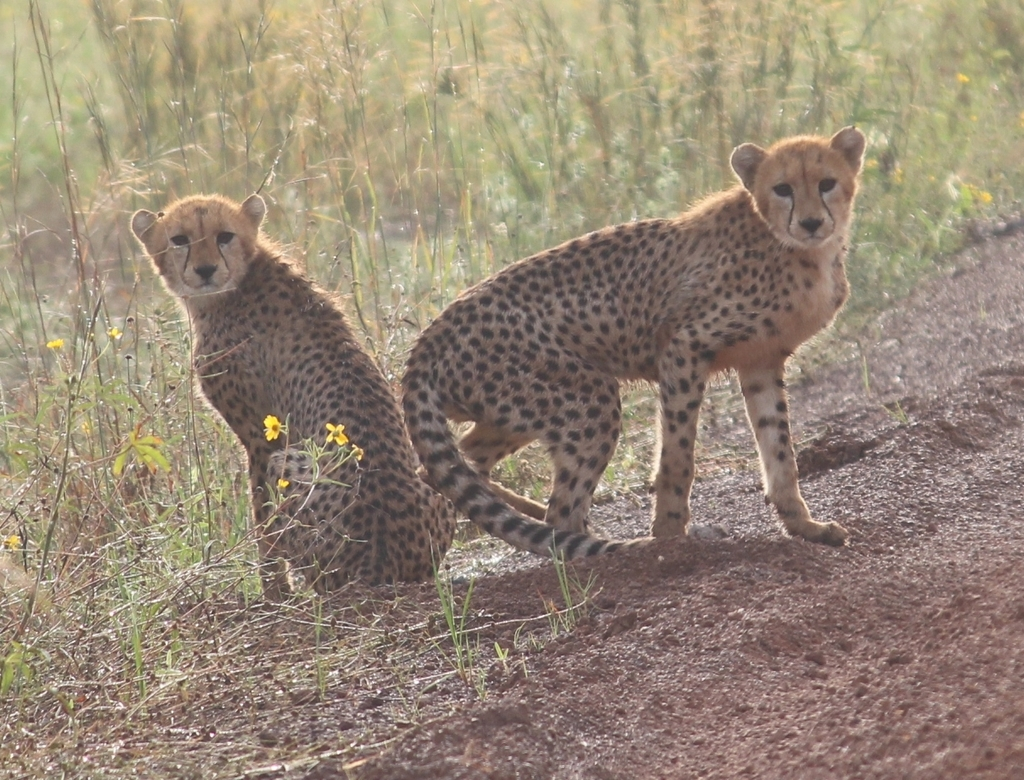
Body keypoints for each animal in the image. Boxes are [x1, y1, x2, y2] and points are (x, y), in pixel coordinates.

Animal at [132, 194, 456, 593]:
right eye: (179, 239)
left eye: (225, 235)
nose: (206, 270)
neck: (242, 280)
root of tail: (392, 568)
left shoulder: (261, 438)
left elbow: (263, 520)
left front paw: (273, 591)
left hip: (290, 467)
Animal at [403, 127, 868, 548]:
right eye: (782, 189)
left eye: (827, 183)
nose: (811, 222)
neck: (794, 248)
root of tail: (429, 335)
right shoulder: (683, 348)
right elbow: (678, 454)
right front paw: (670, 534)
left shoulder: (761, 361)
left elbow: (780, 452)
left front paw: (804, 526)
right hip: (587, 398)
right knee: (560, 509)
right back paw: (608, 551)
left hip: (514, 412)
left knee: (445, 469)